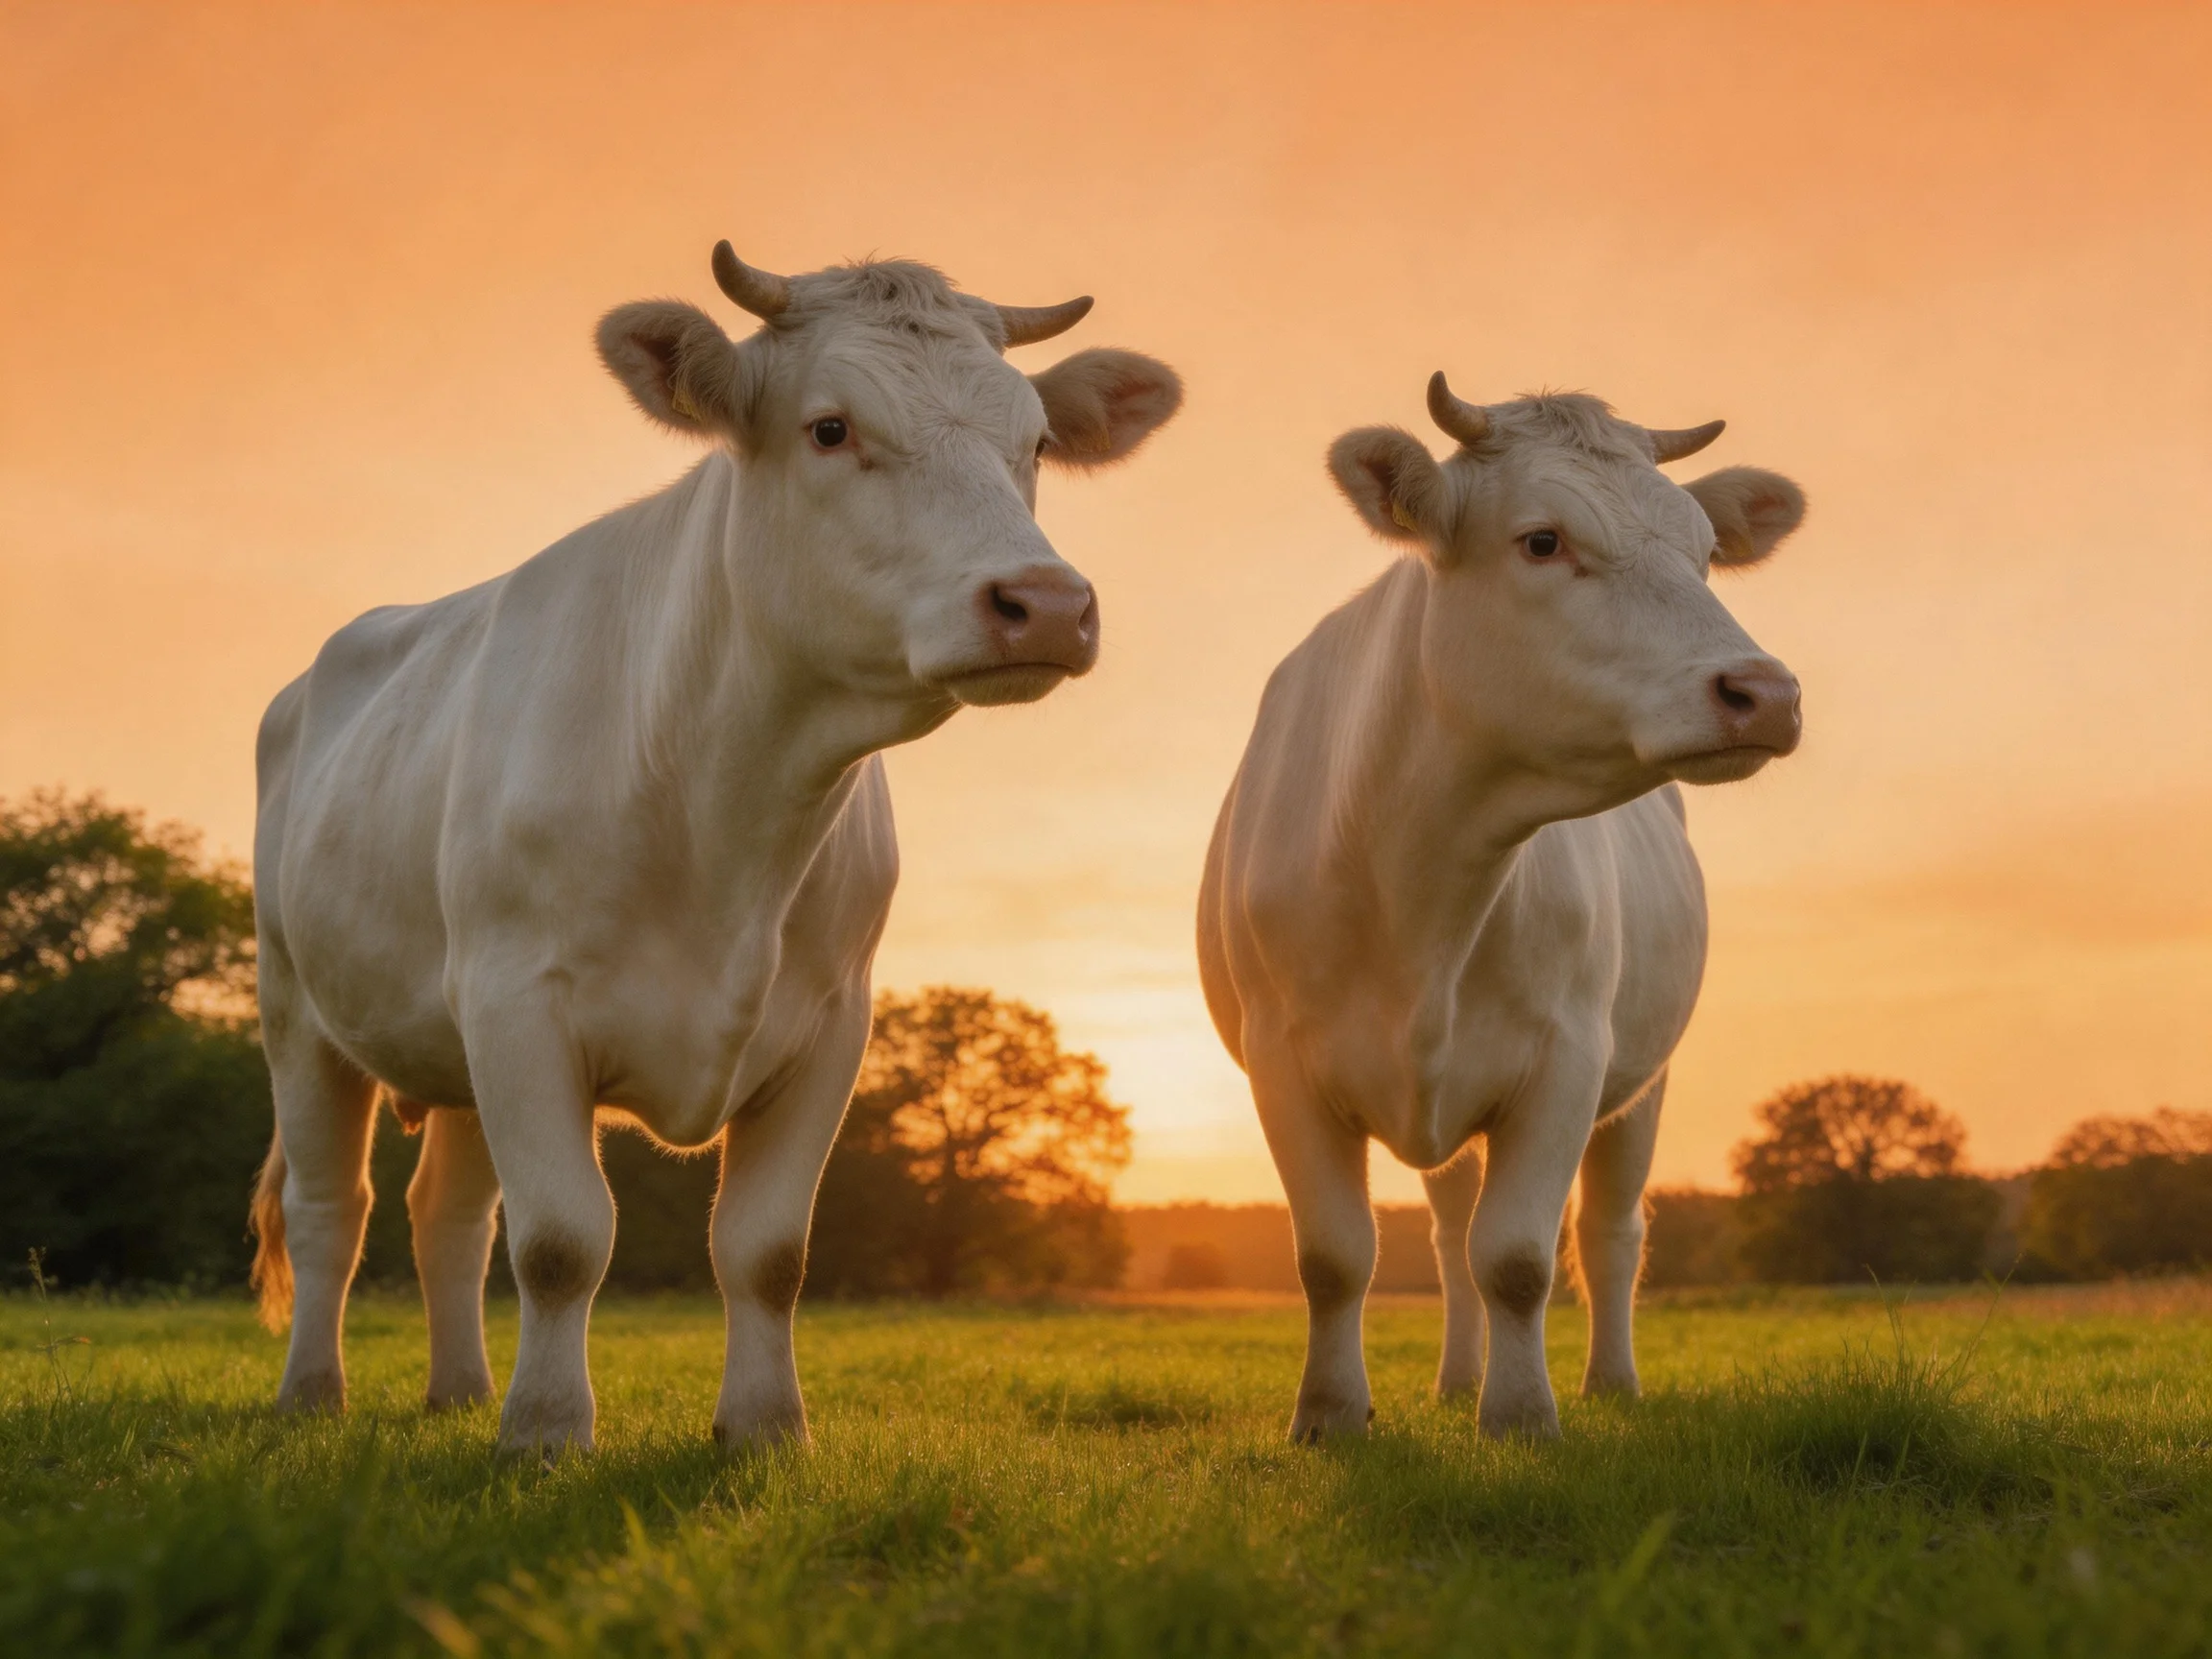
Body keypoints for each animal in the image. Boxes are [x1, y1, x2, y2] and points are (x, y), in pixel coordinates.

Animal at [248, 242, 1182, 1453]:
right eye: (829, 427)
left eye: (1034, 443)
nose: (1050, 604)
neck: (726, 809)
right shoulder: (516, 1001)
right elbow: (562, 1240)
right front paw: (546, 1432)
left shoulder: (830, 1026)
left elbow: (767, 1250)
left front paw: (764, 1427)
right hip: (298, 1010)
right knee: (333, 1212)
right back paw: (313, 1394)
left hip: (443, 1047)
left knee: (444, 1216)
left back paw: (458, 1390)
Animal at [1196, 373, 1805, 1439]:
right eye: (1542, 541)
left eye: (1703, 553)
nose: (1764, 692)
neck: (1421, 886)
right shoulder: (1281, 1064)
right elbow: (1335, 1257)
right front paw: (1330, 1417)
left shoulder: (1569, 1057)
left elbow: (1518, 1257)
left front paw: (1521, 1415)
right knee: (1447, 1232)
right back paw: (1452, 1379)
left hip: (1644, 1083)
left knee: (1609, 1233)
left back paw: (1610, 1383)